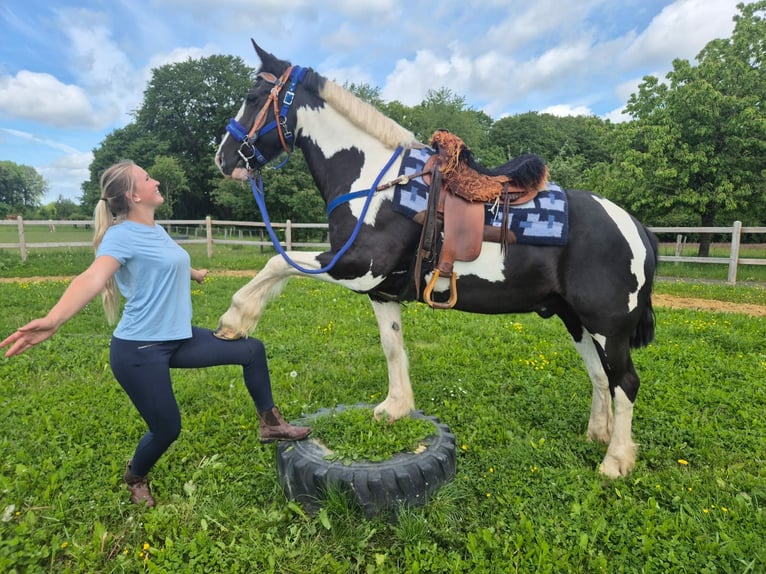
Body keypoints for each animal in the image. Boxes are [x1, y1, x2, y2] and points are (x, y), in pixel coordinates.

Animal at [214, 41, 658, 479]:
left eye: (252, 96)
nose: (224, 158)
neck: (375, 183)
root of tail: (636, 226)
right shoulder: (380, 290)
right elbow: (391, 345)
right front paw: (394, 408)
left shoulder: (355, 266)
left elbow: (278, 263)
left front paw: (234, 320)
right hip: (576, 320)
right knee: (600, 375)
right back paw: (597, 435)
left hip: (608, 327)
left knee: (626, 382)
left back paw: (615, 461)